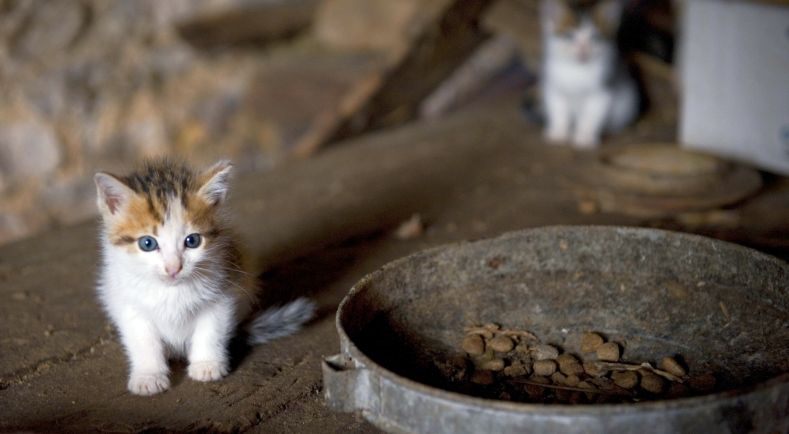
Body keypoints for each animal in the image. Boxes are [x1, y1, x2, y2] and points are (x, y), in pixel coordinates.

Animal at [94, 158, 312, 396]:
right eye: (147, 243)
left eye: (192, 241)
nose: (173, 268)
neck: (171, 290)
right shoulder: (126, 301)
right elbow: (142, 340)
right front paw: (148, 376)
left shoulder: (224, 291)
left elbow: (211, 330)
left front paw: (207, 365)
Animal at [540, 0, 636, 148]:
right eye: (569, 36)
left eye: (594, 37)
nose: (582, 50)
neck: (577, 70)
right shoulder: (554, 87)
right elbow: (558, 109)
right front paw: (558, 132)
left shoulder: (602, 92)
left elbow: (591, 116)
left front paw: (584, 137)